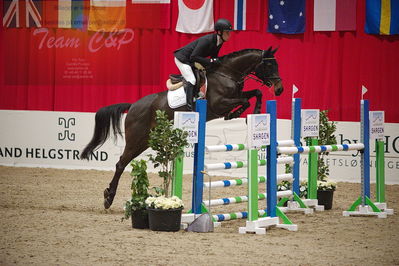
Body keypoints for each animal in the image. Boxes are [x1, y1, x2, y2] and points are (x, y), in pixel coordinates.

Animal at [79, 46, 282, 208]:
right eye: (269, 65)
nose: (280, 89)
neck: (228, 74)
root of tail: (134, 105)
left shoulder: (235, 96)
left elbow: (255, 93)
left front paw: (252, 111)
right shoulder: (219, 104)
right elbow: (245, 100)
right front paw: (237, 113)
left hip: (145, 141)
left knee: (123, 162)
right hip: (136, 140)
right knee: (121, 163)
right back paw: (108, 198)